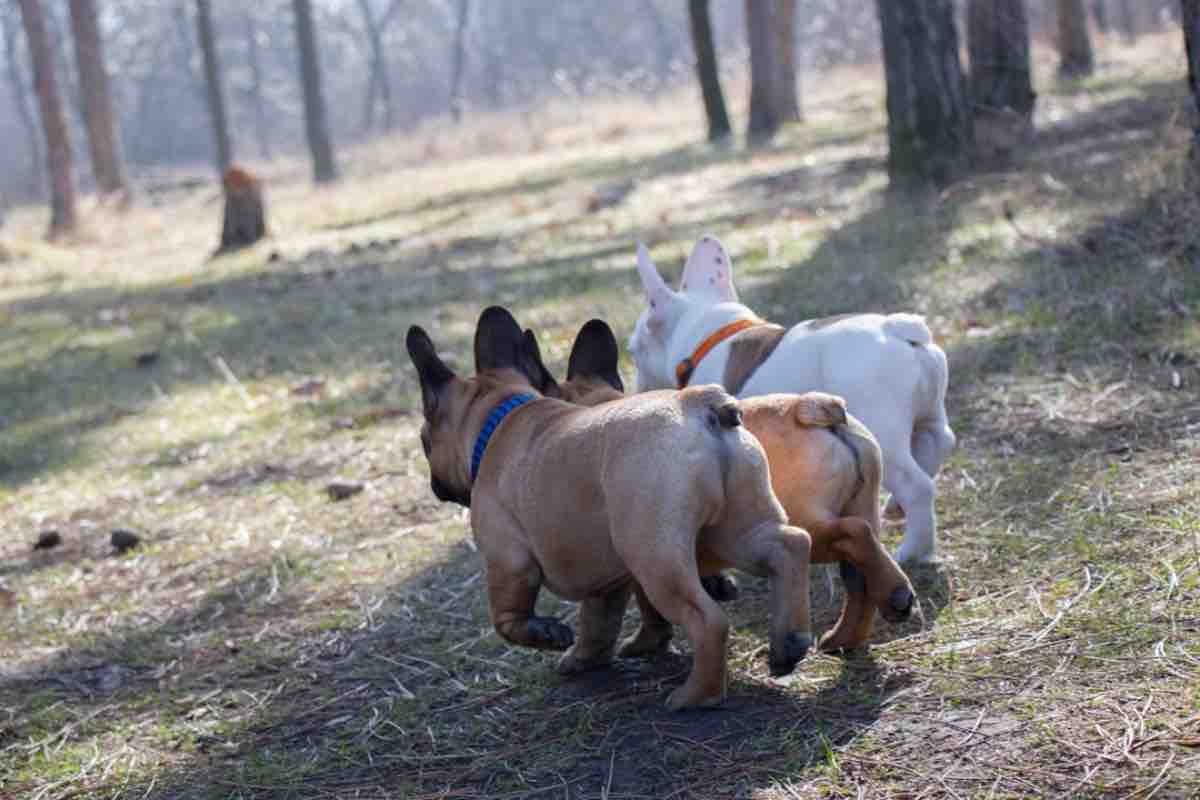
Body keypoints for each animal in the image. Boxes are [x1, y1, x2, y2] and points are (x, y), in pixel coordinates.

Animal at [410, 309, 816, 714]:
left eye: (424, 442)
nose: (434, 484)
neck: (499, 420)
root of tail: (700, 404)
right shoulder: (604, 581)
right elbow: (598, 622)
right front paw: (586, 657)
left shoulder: (508, 562)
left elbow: (507, 620)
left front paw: (549, 635)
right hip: (736, 528)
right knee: (789, 546)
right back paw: (789, 642)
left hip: (656, 558)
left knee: (708, 620)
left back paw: (696, 695)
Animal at [530, 316, 912, 652]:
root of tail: (811, 407)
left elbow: (641, 607)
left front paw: (641, 644)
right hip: (860, 503)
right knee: (859, 576)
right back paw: (854, 630)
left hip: (803, 523)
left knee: (851, 535)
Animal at [628, 236, 955, 563]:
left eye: (633, 351)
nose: (636, 387)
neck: (709, 335)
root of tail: (898, 329)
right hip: (929, 413)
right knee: (939, 442)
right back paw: (896, 506)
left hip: (883, 431)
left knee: (917, 486)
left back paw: (912, 551)